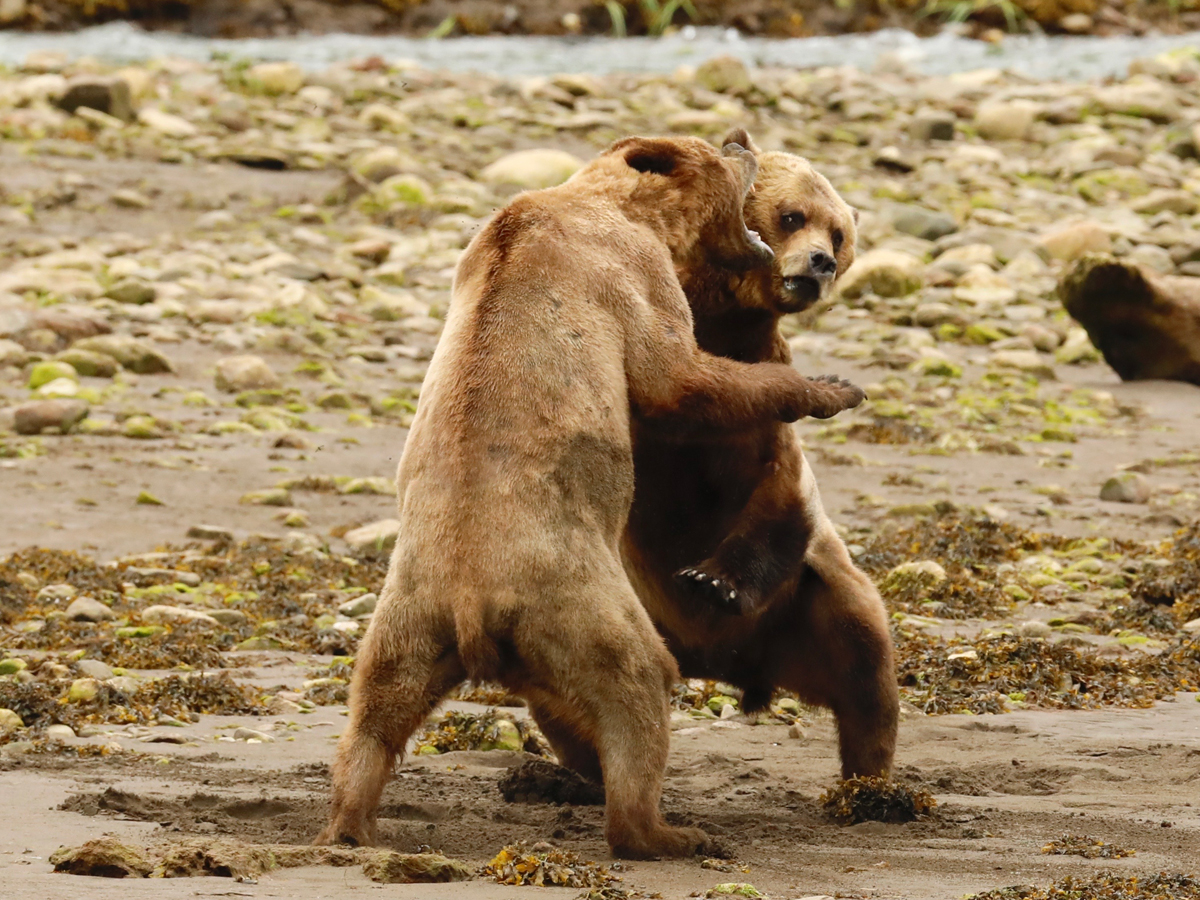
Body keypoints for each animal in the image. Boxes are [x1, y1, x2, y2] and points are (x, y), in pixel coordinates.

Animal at [316, 132, 864, 859]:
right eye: (718, 154)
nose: (741, 139)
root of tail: (471, 608)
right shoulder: (627, 273)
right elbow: (679, 379)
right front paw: (833, 388)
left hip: (408, 612)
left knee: (375, 712)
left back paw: (353, 821)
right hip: (576, 598)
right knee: (638, 684)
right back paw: (670, 831)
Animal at [619, 128, 902, 782]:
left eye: (838, 234)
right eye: (792, 215)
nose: (821, 263)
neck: (721, 316)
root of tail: (739, 671)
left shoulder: (763, 435)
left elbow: (779, 495)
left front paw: (712, 580)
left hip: (814, 606)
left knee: (867, 672)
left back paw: (871, 784)